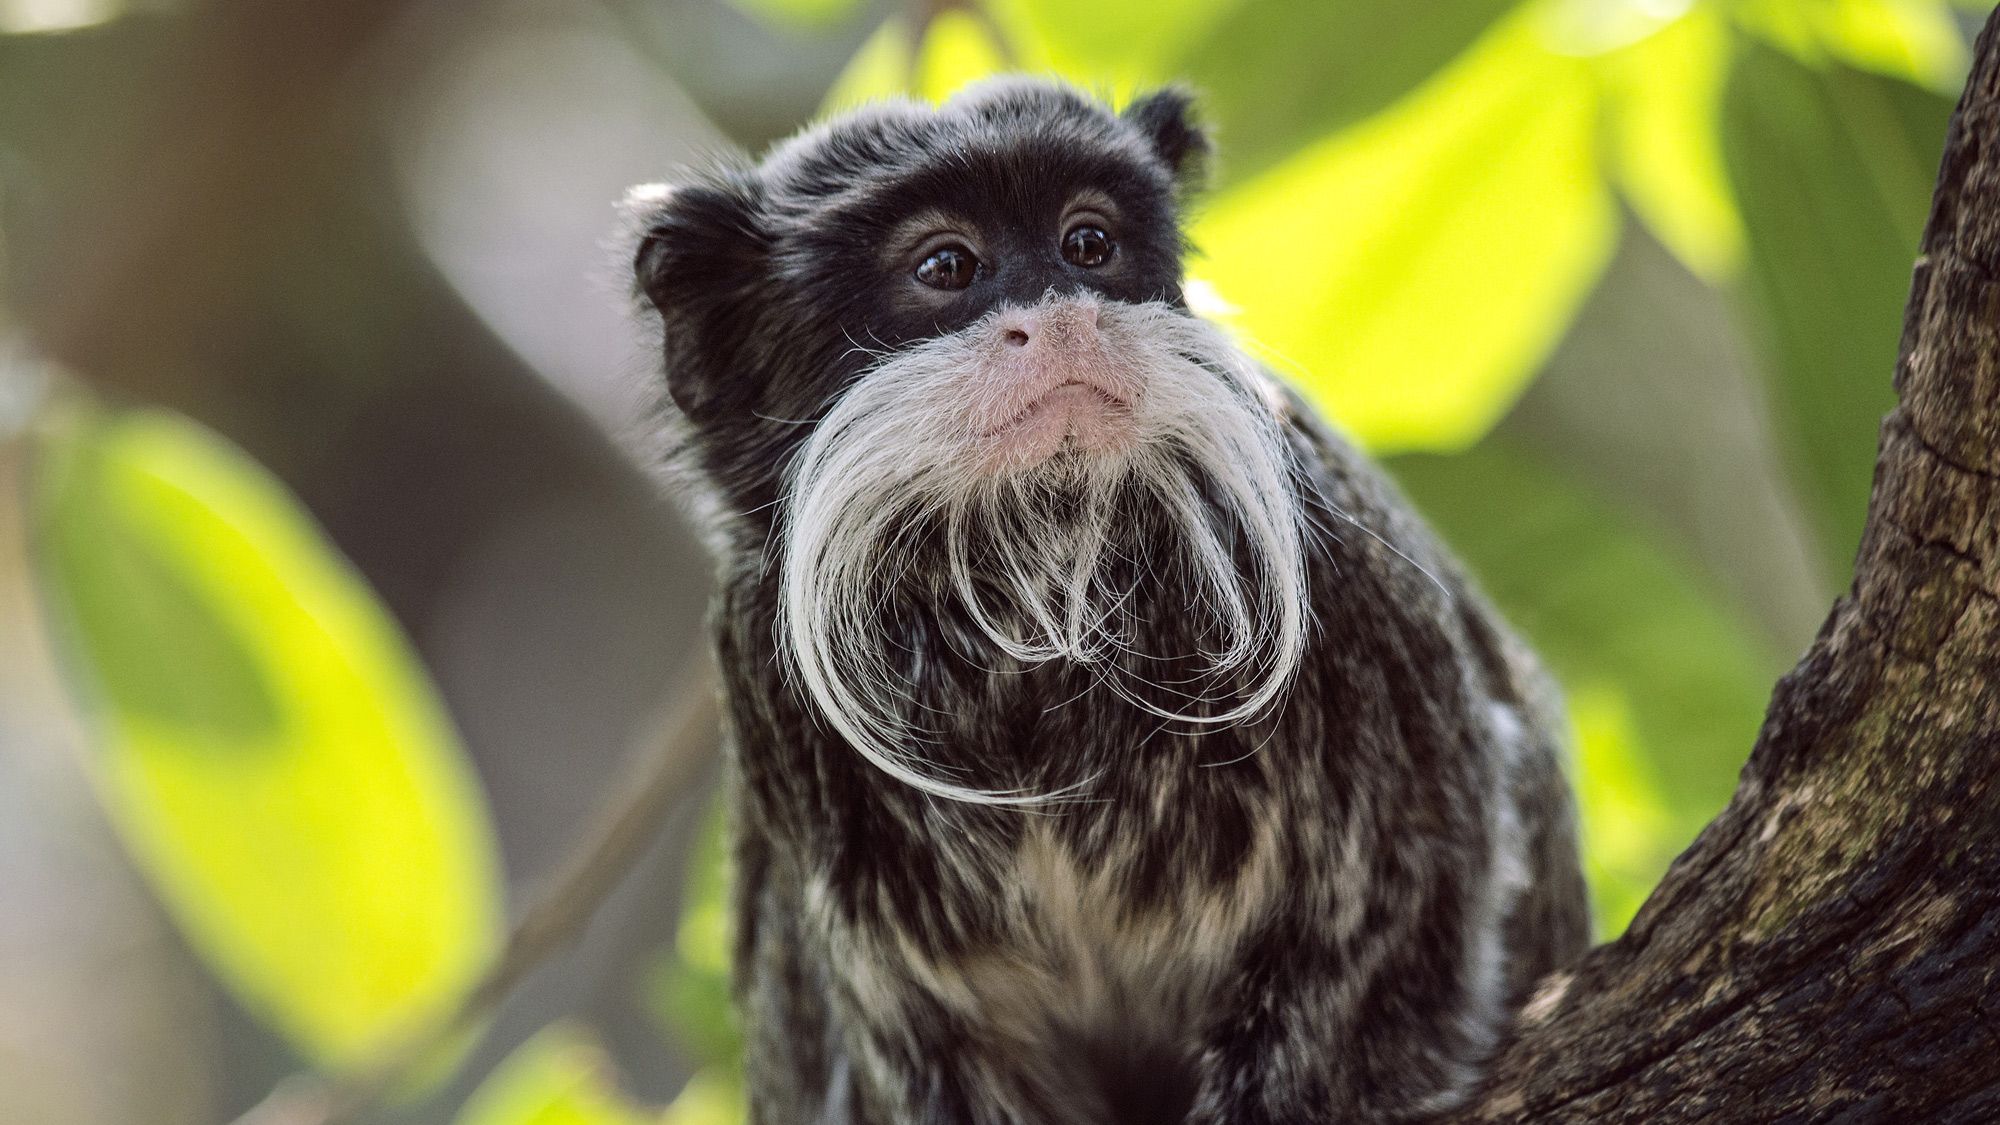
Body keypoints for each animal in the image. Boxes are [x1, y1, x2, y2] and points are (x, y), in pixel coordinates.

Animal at [620, 81, 1576, 1120]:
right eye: (946, 265)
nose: (1065, 315)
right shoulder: (765, 665)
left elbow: (1412, 876)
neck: (1037, 586)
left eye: (1088, 244)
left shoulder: (1342, 573)